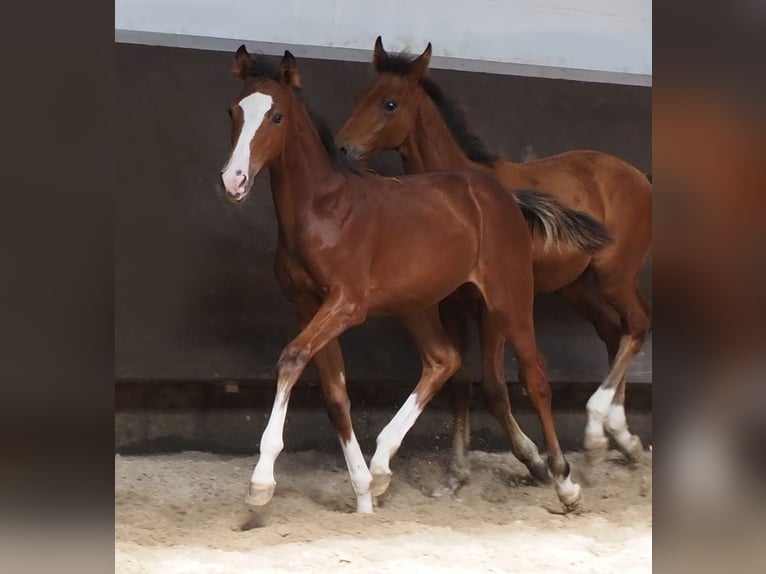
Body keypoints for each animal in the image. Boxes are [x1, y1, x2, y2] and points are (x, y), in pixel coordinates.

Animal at [218, 45, 612, 512]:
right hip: (418, 305)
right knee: (445, 360)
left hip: (507, 297)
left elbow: (292, 358)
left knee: (535, 377)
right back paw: (383, 467)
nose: (234, 180)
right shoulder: (307, 306)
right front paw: (363, 496)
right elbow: (335, 394)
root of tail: (506, 196)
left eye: (276, 116)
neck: (323, 211)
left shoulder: (346, 304)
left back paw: (564, 482)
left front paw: (261, 482)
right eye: (233, 111)